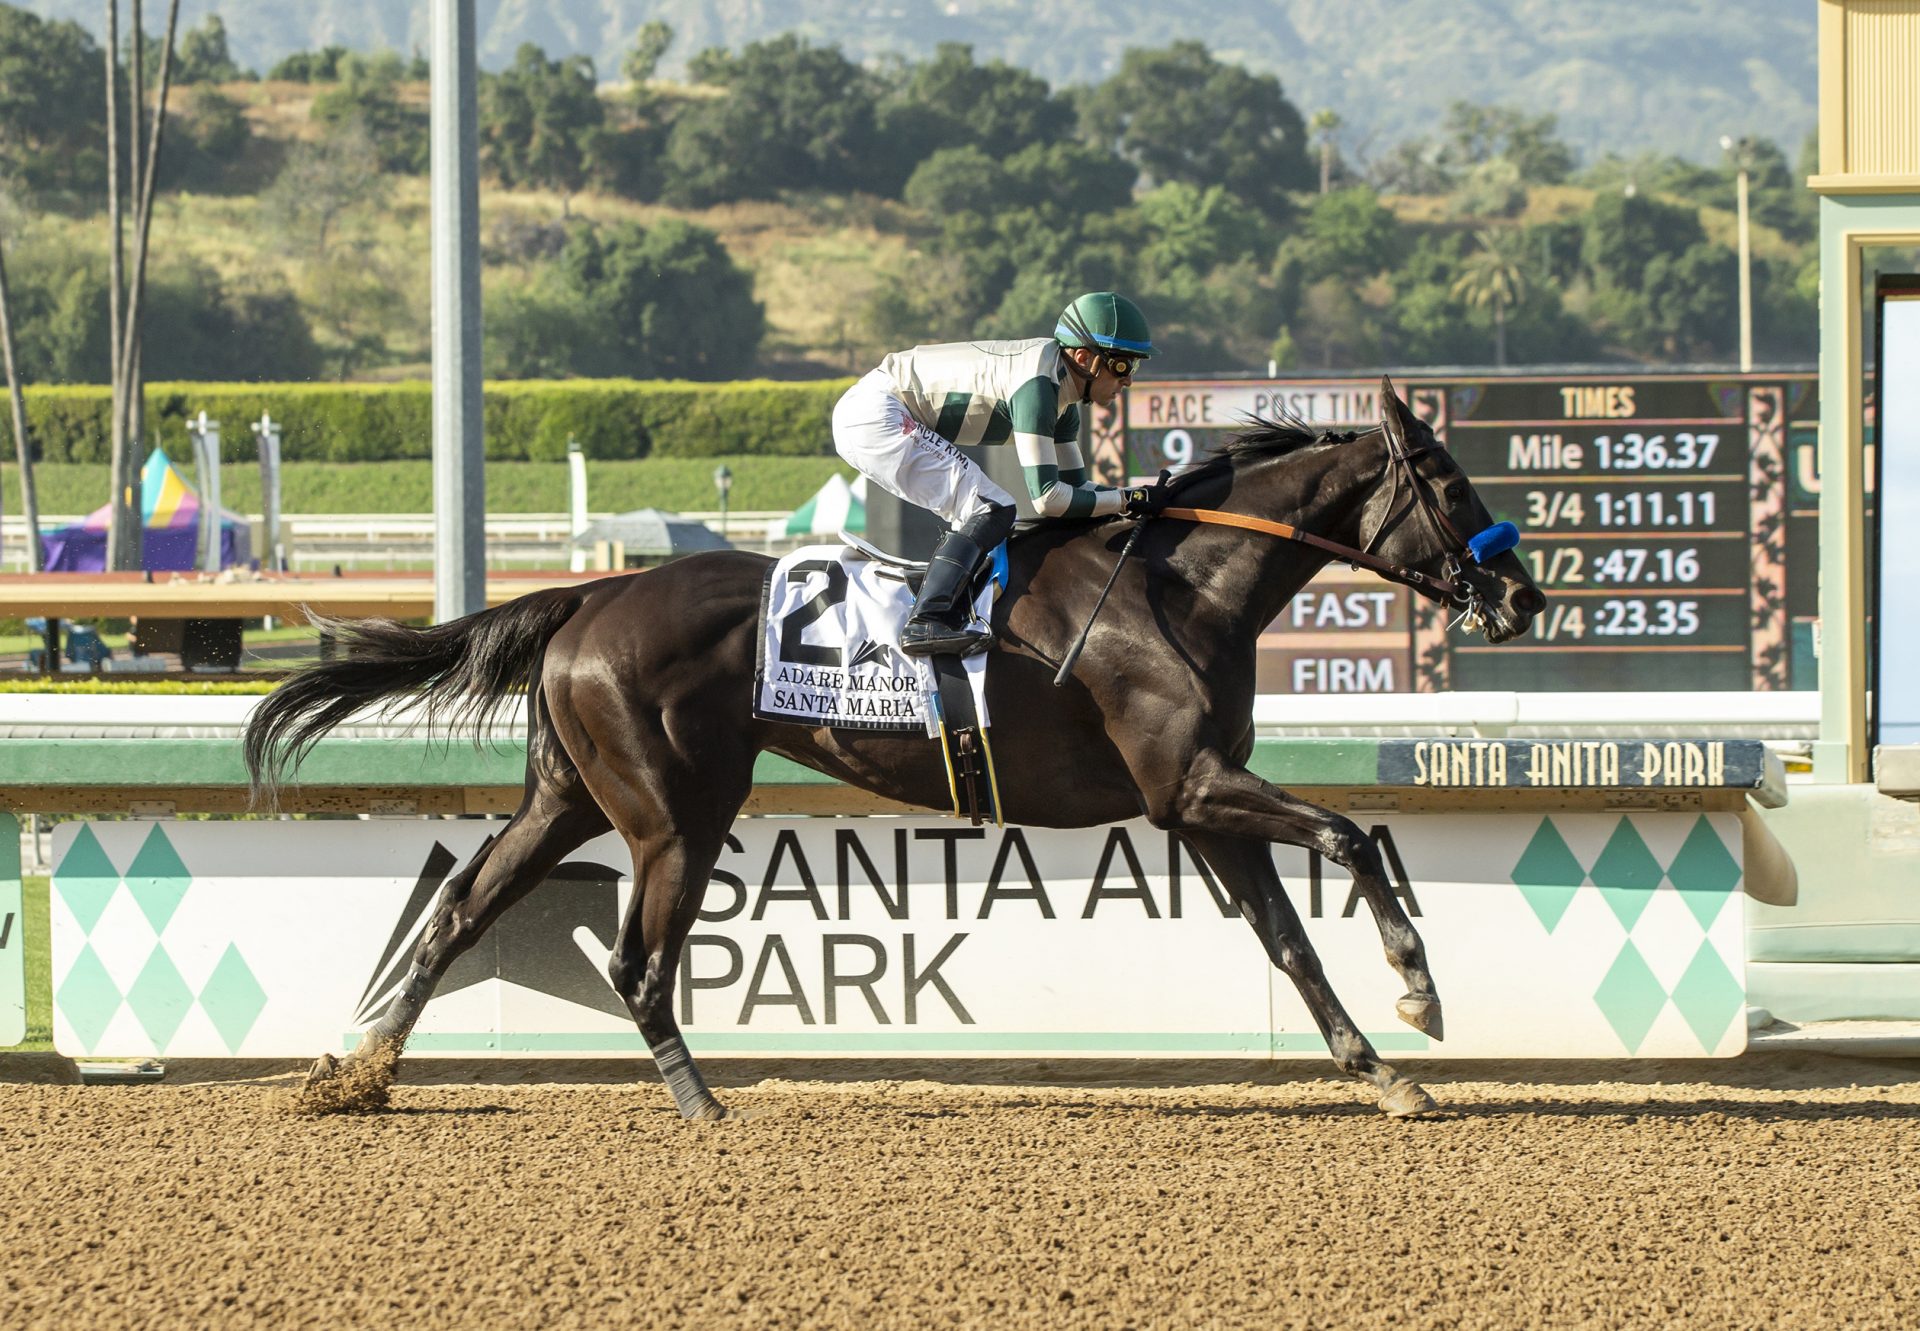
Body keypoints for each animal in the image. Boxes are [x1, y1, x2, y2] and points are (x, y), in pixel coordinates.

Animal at [251, 378, 1543, 1113]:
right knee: (633, 960)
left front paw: (1384, 1071)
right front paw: (1420, 988)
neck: (1185, 585)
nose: (1523, 596)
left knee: (463, 905)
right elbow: (1348, 838)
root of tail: (588, 594)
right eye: (1444, 478)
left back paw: (355, 1074)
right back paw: (702, 1104)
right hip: (674, 811)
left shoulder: (1197, 799)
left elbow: (1288, 940)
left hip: (569, 794)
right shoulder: (1193, 782)